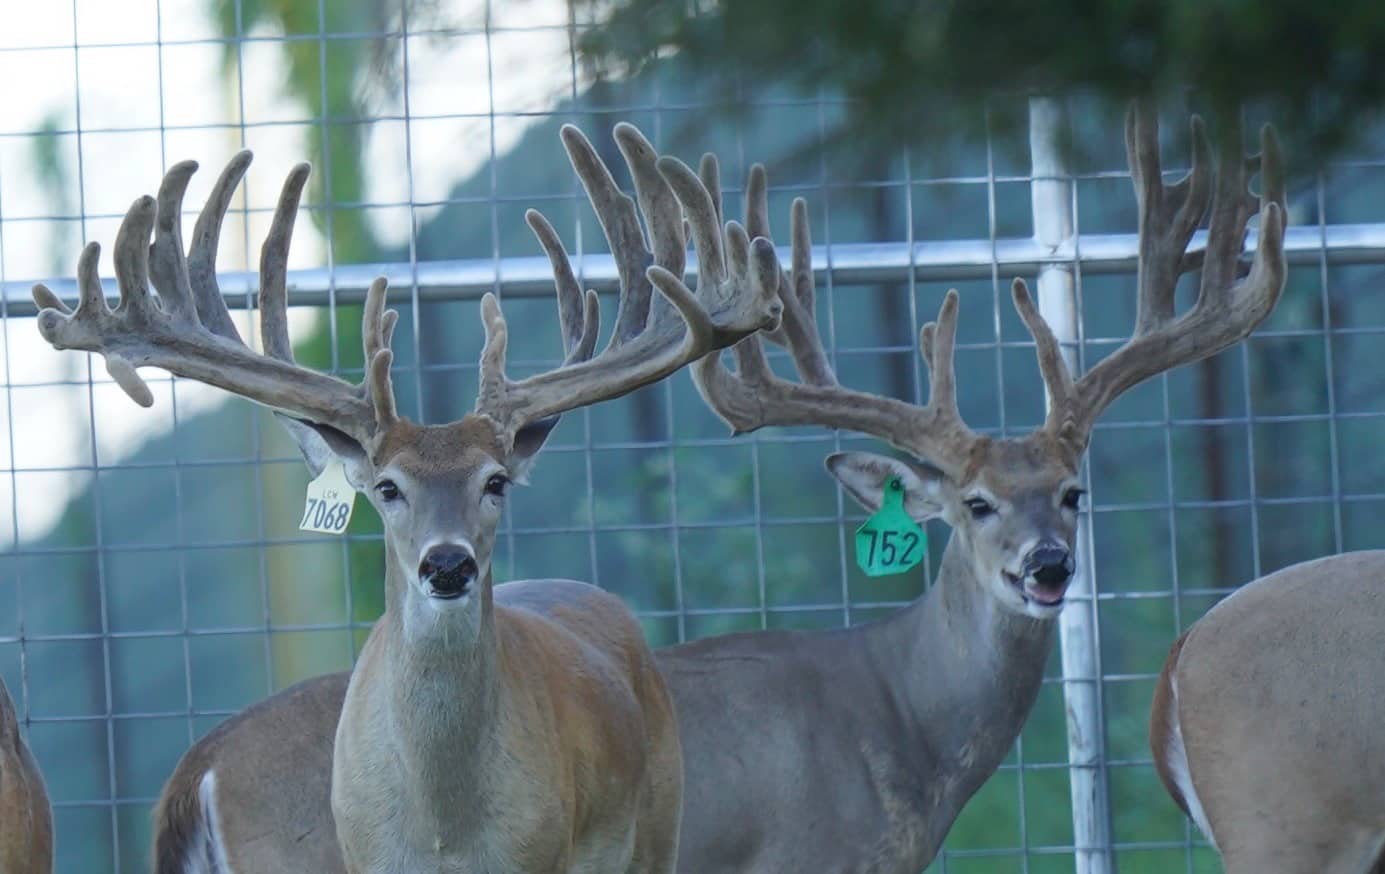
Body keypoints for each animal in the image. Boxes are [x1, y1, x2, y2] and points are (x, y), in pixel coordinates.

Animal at [30, 120, 783, 873]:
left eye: (495, 481)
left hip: (659, 826)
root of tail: (194, 780)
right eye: (388, 487)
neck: (446, 832)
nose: (447, 564)